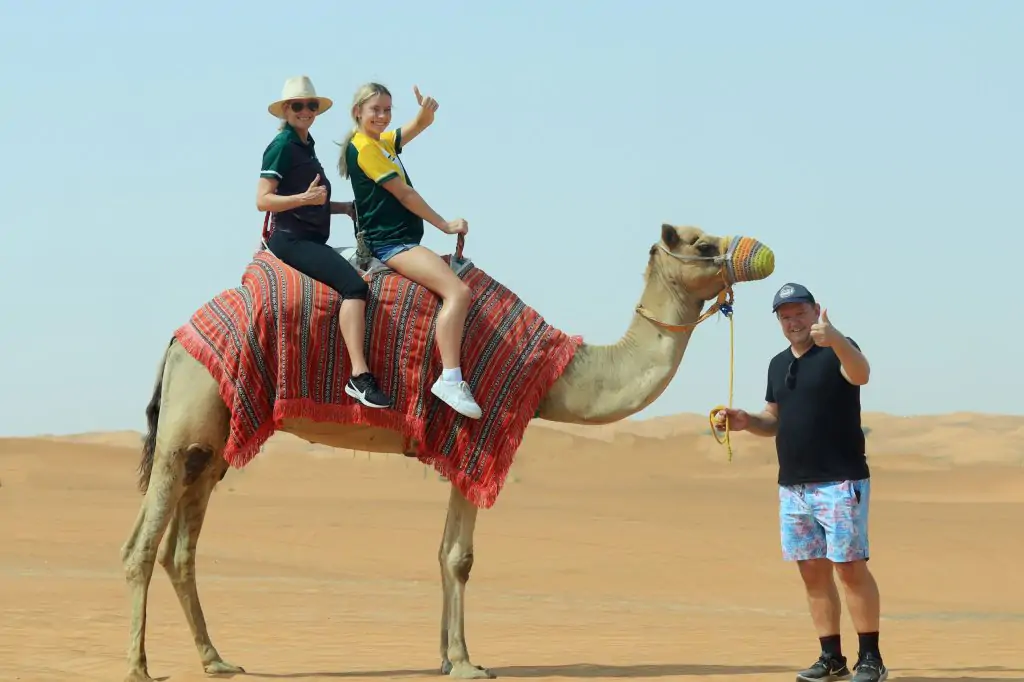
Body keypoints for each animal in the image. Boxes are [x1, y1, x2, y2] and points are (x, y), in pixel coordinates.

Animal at [119, 223, 770, 679]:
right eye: (703, 242)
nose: (761, 253)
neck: (553, 373)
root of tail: (177, 339)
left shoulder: (459, 451)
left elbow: (444, 554)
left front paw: (447, 656)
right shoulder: (475, 436)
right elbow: (459, 557)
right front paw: (465, 662)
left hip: (212, 441)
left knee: (181, 548)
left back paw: (216, 660)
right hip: (185, 425)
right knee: (141, 546)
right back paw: (139, 666)